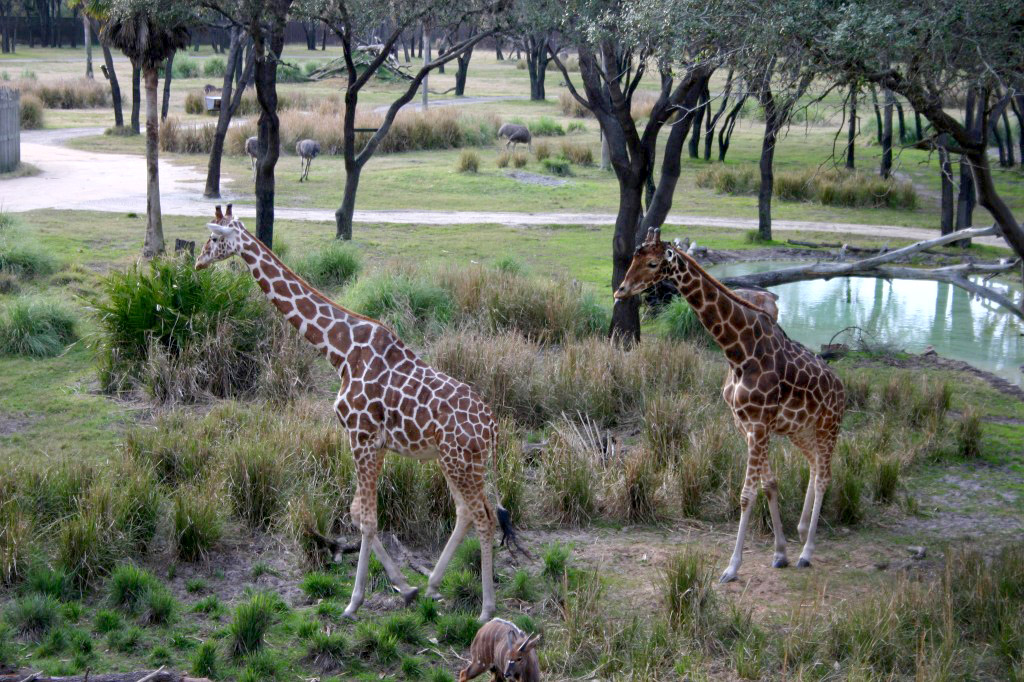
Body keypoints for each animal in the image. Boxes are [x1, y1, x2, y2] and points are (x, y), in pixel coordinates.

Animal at [195, 205, 516, 621]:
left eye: (214, 237)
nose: (198, 261)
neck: (340, 351)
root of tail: (493, 427)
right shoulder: (373, 442)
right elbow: (358, 513)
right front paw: (406, 588)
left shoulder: (361, 436)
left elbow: (367, 519)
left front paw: (354, 602)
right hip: (453, 461)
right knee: (465, 512)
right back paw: (432, 585)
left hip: (462, 462)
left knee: (484, 518)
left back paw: (486, 609)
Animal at [614, 227, 845, 582]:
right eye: (633, 259)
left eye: (652, 263)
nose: (620, 291)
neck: (738, 352)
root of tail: (843, 389)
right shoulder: (746, 425)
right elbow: (770, 485)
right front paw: (780, 554)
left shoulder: (760, 426)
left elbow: (747, 495)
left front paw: (732, 567)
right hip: (800, 429)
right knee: (813, 466)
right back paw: (803, 530)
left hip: (828, 426)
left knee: (824, 476)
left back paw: (807, 552)